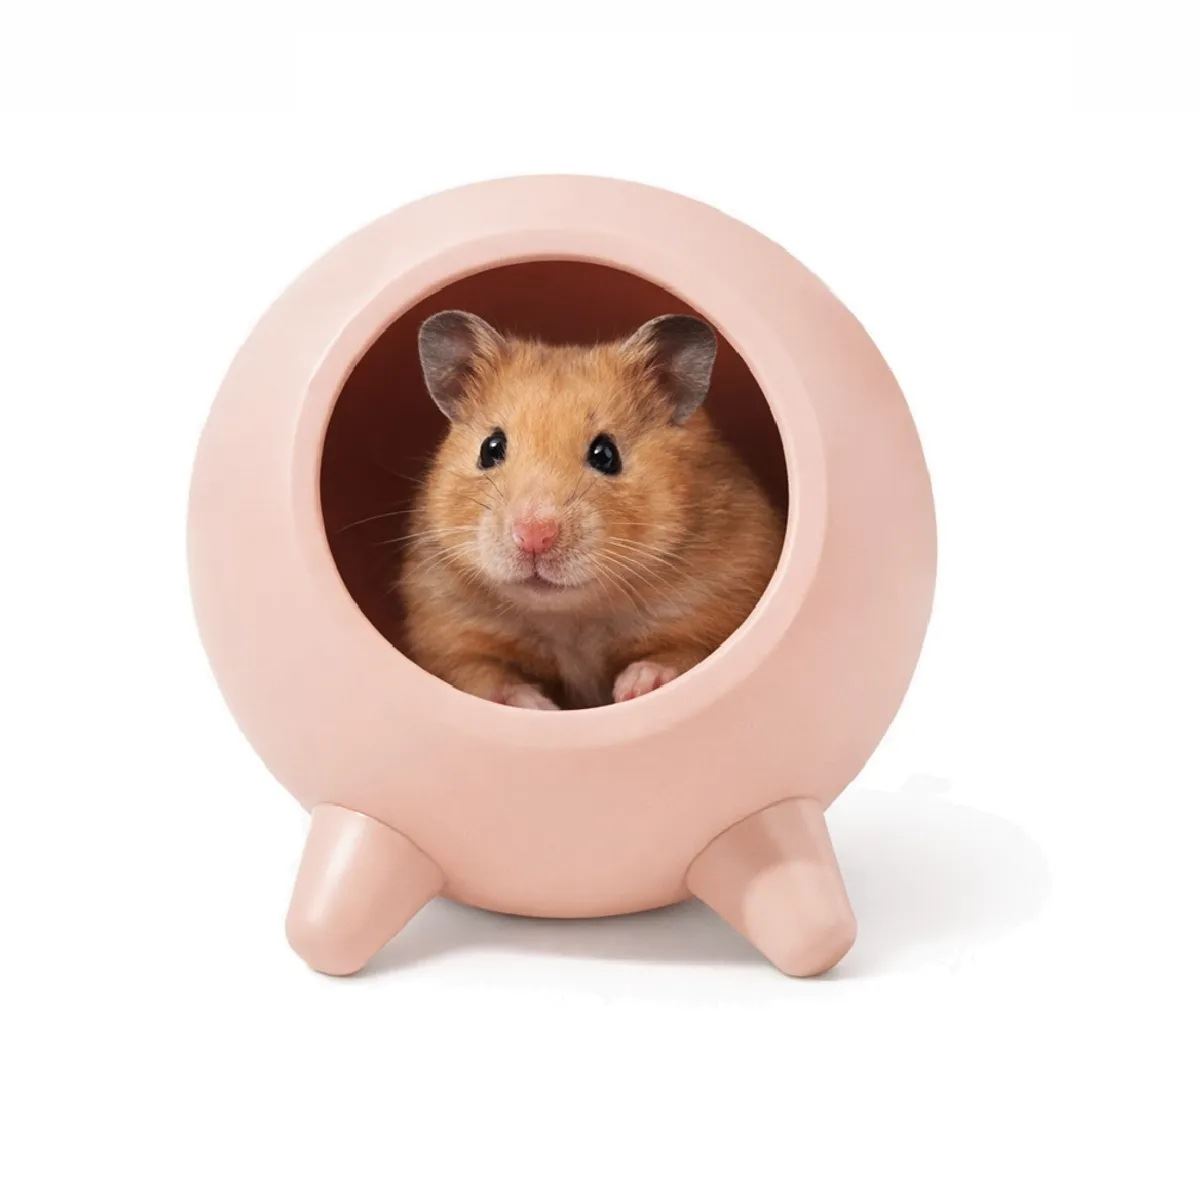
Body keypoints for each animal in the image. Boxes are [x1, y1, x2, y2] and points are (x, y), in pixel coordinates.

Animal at [398, 310, 784, 710]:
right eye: (490, 448)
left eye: (606, 454)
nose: (533, 537)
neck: (571, 615)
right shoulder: (448, 635)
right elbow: (487, 678)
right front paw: (539, 706)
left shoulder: (719, 608)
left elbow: (680, 655)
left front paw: (635, 687)